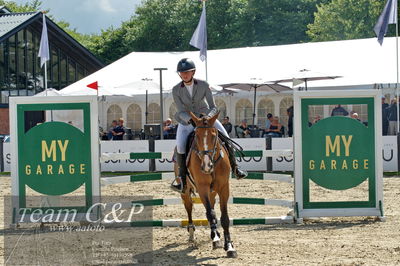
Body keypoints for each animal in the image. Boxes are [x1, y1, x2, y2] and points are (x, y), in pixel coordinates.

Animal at [176, 110, 236, 258]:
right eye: (196, 136)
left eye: (214, 136)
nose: (206, 166)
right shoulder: (202, 187)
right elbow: (210, 213)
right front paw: (215, 237)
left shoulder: (223, 188)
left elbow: (224, 217)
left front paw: (229, 246)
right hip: (186, 192)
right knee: (189, 207)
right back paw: (192, 233)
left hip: (212, 191)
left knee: (212, 205)